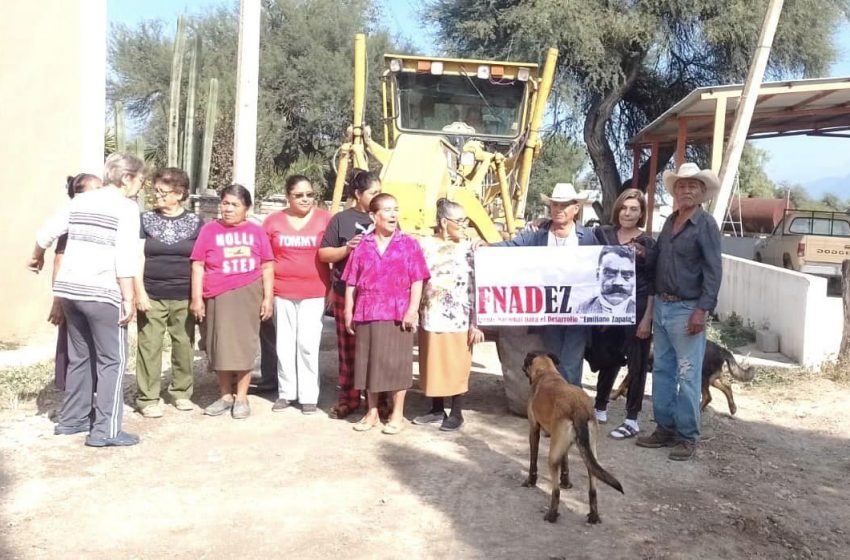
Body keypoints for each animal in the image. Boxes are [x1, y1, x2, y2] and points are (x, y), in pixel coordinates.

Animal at [516, 352, 624, 524]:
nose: (521, 366)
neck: (547, 372)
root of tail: (578, 407)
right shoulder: (563, 444)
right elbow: (566, 463)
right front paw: (566, 482)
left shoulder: (534, 429)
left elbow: (533, 462)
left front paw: (530, 482)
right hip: (590, 453)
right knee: (593, 486)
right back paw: (593, 516)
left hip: (552, 458)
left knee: (555, 491)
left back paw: (552, 515)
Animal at [608, 340, 756, 414]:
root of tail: (721, 349)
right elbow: (625, 385)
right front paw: (622, 395)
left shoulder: (634, 369)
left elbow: (622, 384)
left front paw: (614, 396)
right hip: (711, 378)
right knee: (727, 386)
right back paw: (732, 408)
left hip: (701, 377)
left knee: (708, 396)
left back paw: (697, 411)